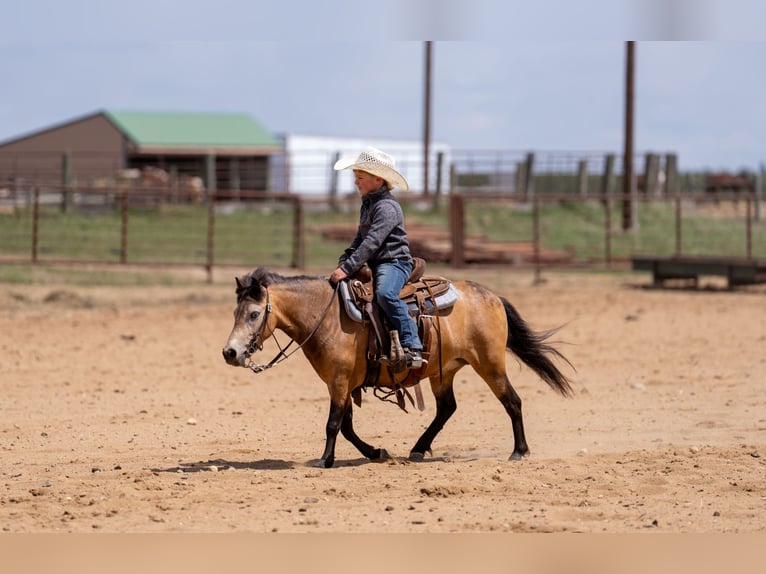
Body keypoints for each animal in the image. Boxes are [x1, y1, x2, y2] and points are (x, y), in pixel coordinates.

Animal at [222, 267, 574, 468]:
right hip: (444, 370)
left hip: (490, 364)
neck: (327, 317)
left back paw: (520, 451)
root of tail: (492, 296)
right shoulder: (344, 383)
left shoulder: (339, 381)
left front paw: (325, 460)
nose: (230, 352)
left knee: (512, 401)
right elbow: (347, 427)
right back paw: (418, 449)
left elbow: (333, 424)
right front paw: (376, 452)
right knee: (447, 407)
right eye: (235, 313)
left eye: (254, 314)